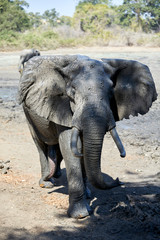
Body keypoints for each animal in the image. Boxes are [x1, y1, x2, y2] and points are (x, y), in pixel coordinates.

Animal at [18, 54, 157, 219]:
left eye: (111, 92)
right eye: (72, 92)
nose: (119, 181)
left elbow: (82, 148)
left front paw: (88, 197)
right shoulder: (63, 107)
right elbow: (71, 147)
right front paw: (80, 214)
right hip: (27, 110)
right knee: (40, 144)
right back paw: (46, 182)